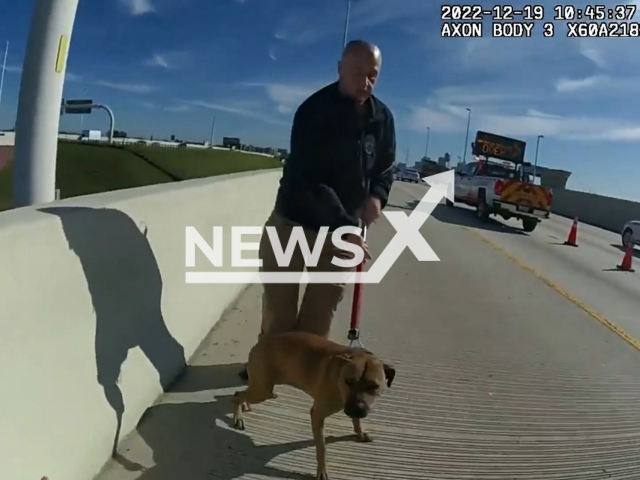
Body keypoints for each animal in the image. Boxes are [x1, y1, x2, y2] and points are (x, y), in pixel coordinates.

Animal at [232, 332, 396, 478]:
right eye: (348, 381)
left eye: (373, 386)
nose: (355, 409)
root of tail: (258, 344)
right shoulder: (317, 414)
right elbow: (321, 448)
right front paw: (322, 470)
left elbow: (356, 421)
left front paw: (360, 432)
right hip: (262, 390)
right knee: (236, 395)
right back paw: (238, 416)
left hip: (262, 387)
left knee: (244, 393)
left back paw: (245, 405)